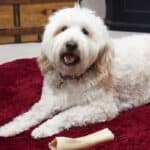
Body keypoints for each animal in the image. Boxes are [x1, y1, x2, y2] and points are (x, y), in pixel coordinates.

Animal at [0, 5, 150, 139]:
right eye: (63, 28)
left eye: (85, 31)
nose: (71, 44)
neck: (71, 77)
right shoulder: (48, 101)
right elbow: (31, 114)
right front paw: (9, 128)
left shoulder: (102, 107)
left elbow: (66, 114)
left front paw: (45, 127)